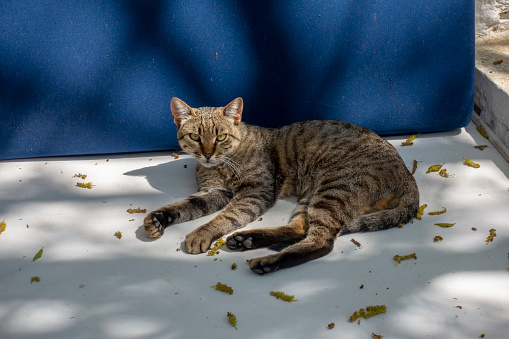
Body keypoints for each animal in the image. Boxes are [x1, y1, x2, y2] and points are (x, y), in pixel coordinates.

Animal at [142, 97, 416, 274]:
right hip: (314, 195)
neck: (221, 164)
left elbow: (225, 217)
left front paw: (201, 233)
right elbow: (185, 206)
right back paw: (249, 240)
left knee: (321, 241)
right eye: (195, 137)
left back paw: (268, 261)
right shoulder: (214, 192)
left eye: (220, 137)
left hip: (333, 190)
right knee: (300, 229)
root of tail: (407, 175)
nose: (208, 154)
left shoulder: (255, 193)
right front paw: (159, 218)